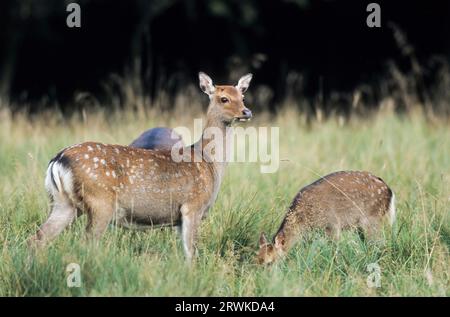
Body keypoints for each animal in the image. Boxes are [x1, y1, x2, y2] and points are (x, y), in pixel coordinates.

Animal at [29, 73, 253, 260]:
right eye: (224, 98)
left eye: (242, 95)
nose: (246, 111)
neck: (209, 164)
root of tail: (58, 160)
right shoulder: (192, 206)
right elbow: (191, 253)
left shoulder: (178, 218)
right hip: (100, 202)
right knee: (86, 243)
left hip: (63, 203)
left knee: (38, 238)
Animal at [255, 170, 396, 264]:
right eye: (257, 260)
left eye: (270, 262)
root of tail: (389, 191)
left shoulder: (332, 225)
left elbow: (335, 250)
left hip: (372, 219)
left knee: (380, 243)